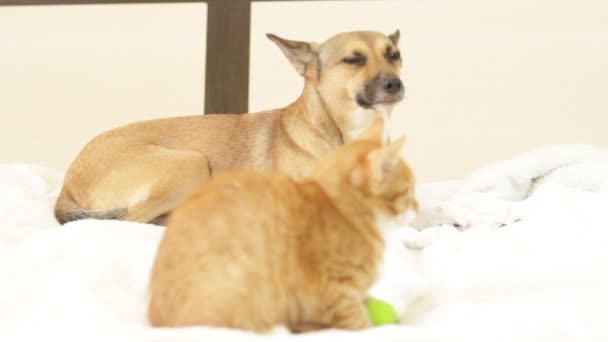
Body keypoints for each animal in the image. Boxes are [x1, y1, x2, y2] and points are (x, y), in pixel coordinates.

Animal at [54, 30, 406, 224]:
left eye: (395, 55)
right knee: (129, 221)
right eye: (353, 60)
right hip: (192, 164)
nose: (395, 84)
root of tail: (67, 184)